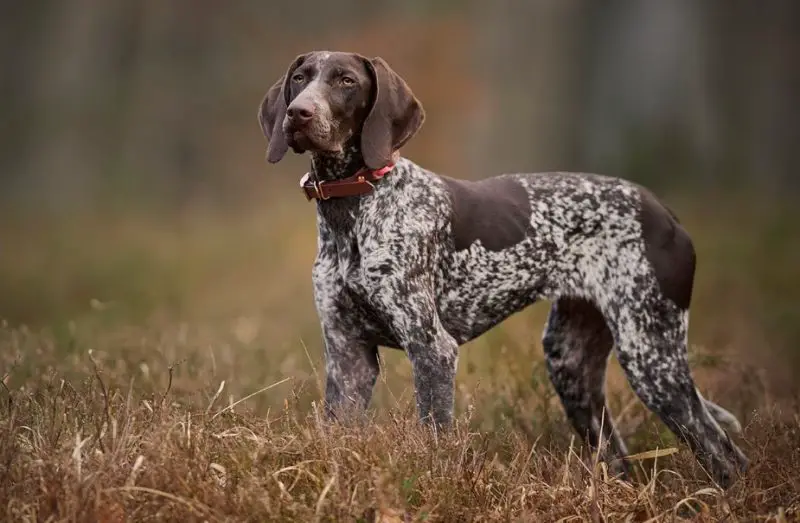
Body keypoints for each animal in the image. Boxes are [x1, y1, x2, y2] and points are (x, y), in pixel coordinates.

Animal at [260, 51, 752, 490]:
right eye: (300, 78)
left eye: (346, 81)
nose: (298, 113)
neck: (353, 209)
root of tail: (664, 212)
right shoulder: (349, 355)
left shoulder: (432, 349)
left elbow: (433, 441)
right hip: (572, 364)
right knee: (619, 459)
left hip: (651, 356)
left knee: (725, 454)